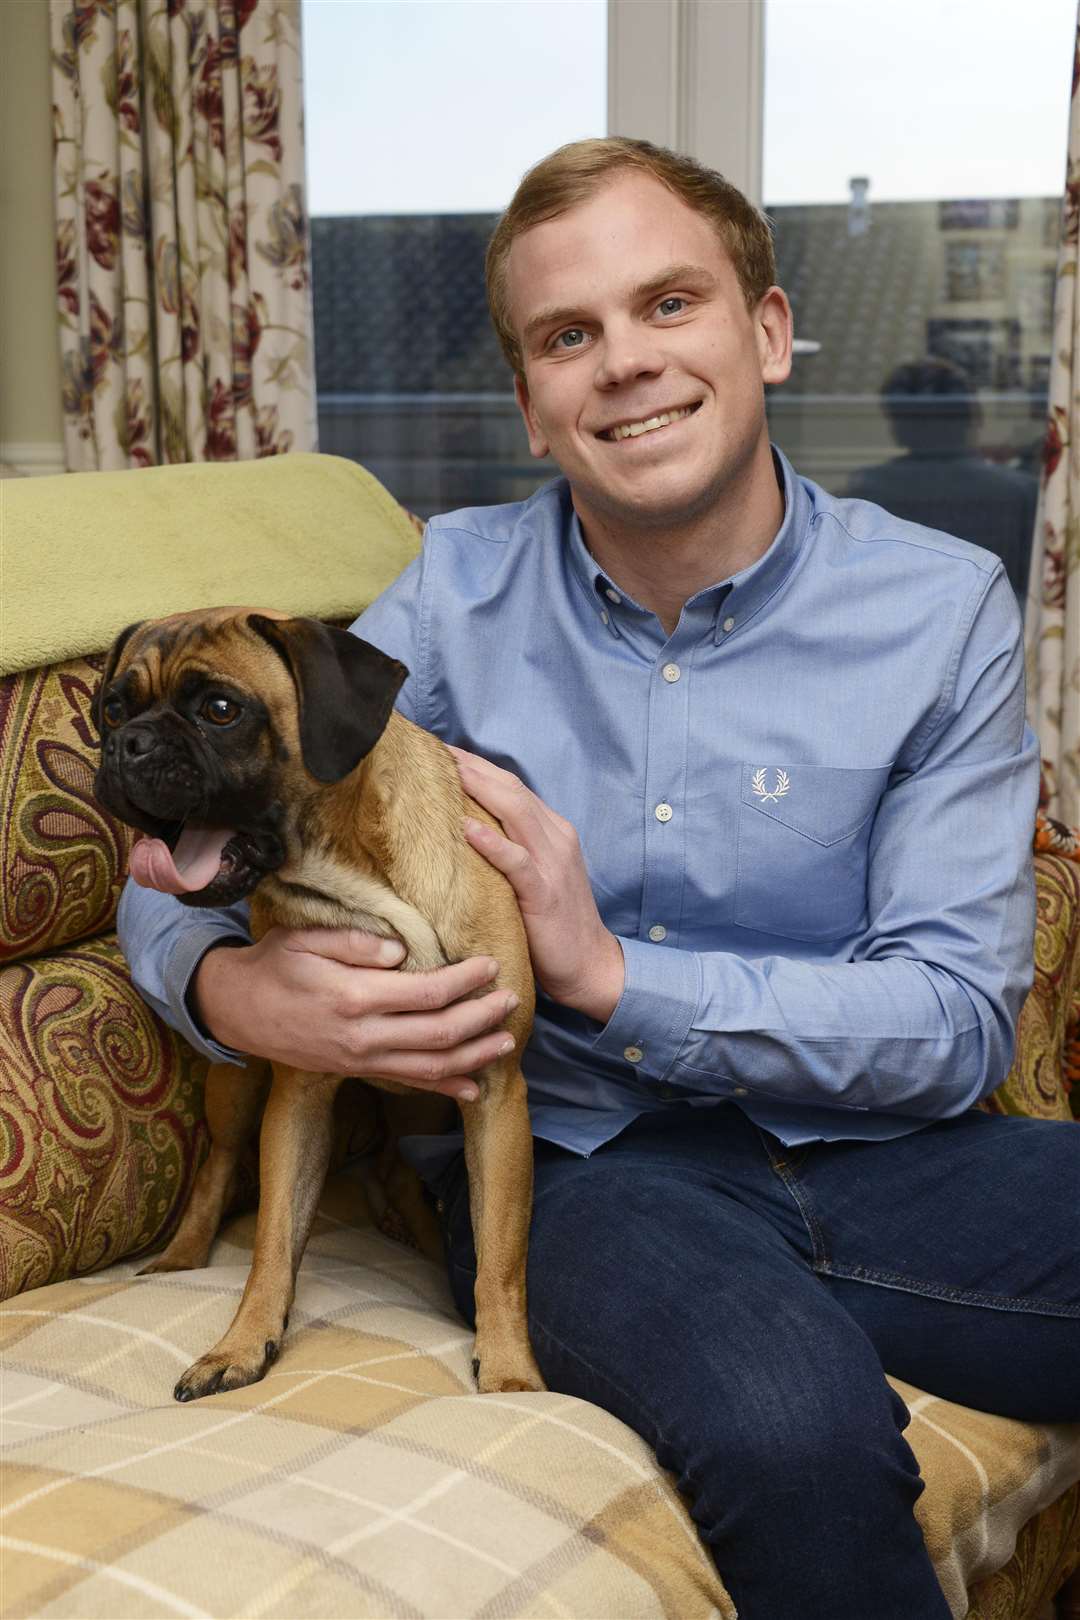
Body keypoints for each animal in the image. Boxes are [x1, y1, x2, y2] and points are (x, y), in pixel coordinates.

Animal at [93, 609, 544, 1406]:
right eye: (113, 709)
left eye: (221, 709)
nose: (125, 744)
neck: (356, 883)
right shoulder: (298, 1098)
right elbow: (273, 1241)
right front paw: (243, 1345)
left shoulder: (495, 1098)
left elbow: (501, 1260)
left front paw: (511, 1374)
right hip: (240, 1084)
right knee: (220, 1165)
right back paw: (182, 1254)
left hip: (425, 1104)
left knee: (396, 1167)